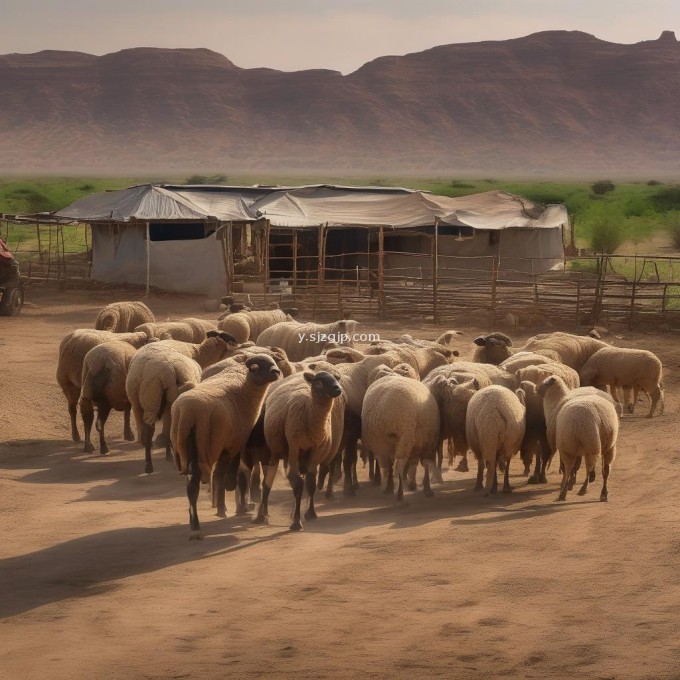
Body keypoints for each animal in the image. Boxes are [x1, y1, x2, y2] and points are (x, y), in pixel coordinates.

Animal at [170, 354, 282, 540]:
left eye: (273, 361)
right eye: (261, 365)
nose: (277, 372)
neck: (246, 385)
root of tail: (187, 413)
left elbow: (221, 475)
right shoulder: (232, 444)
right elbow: (224, 476)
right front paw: (225, 503)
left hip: (184, 447)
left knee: (190, 486)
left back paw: (193, 522)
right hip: (200, 448)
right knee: (194, 486)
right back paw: (196, 528)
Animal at [260, 370, 346, 528]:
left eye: (336, 379)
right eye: (319, 382)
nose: (338, 389)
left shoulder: (316, 451)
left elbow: (310, 483)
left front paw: (310, 513)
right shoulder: (294, 446)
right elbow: (298, 484)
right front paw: (296, 521)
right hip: (279, 450)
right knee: (269, 482)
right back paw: (261, 515)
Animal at [362, 364, 440, 502]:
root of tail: (409, 418)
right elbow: (414, 464)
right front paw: (412, 484)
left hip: (396, 440)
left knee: (396, 464)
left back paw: (398, 493)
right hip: (422, 438)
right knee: (418, 463)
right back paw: (419, 490)